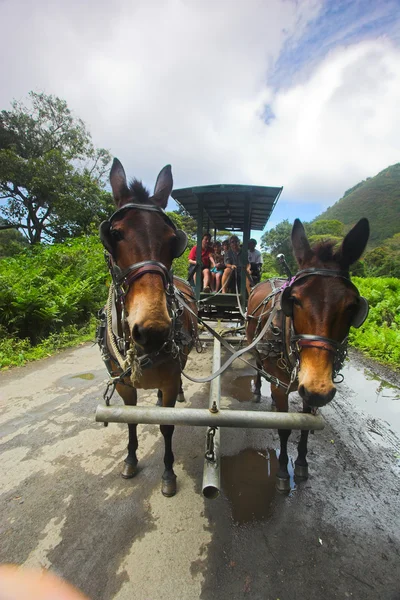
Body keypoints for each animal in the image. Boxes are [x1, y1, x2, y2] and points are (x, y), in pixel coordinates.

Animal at [97, 158, 197, 496]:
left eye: (173, 240)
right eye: (114, 233)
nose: (153, 329)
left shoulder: (169, 380)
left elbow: (166, 425)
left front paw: (168, 473)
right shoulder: (124, 384)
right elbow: (130, 420)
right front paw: (130, 459)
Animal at [245, 218, 370, 490]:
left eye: (352, 306)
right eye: (294, 300)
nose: (318, 388)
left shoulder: (311, 387)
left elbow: (304, 425)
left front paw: (301, 462)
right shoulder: (285, 385)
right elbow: (284, 429)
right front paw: (283, 470)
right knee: (258, 366)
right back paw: (258, 390)